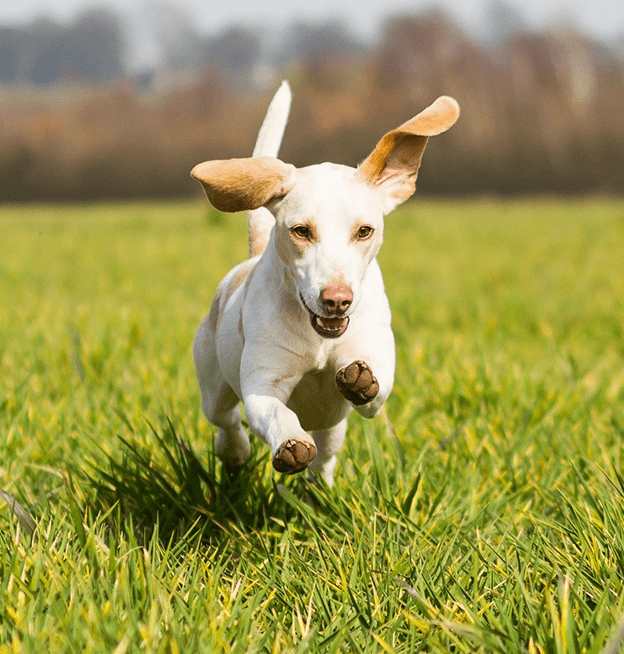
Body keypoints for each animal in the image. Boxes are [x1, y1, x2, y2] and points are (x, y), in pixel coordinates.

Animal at [190, 80, 458, 486]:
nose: (337, 300)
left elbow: (375, 389)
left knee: (326, 456)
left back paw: (317, 487)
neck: (319, 339)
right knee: (227, 422)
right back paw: (236, 452)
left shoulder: (374, 363)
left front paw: (361, 381)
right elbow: (275, 412)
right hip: (213, 385)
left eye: (364, 230)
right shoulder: (262, 384)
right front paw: (290, 444)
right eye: (301, 230)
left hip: (333, 427)